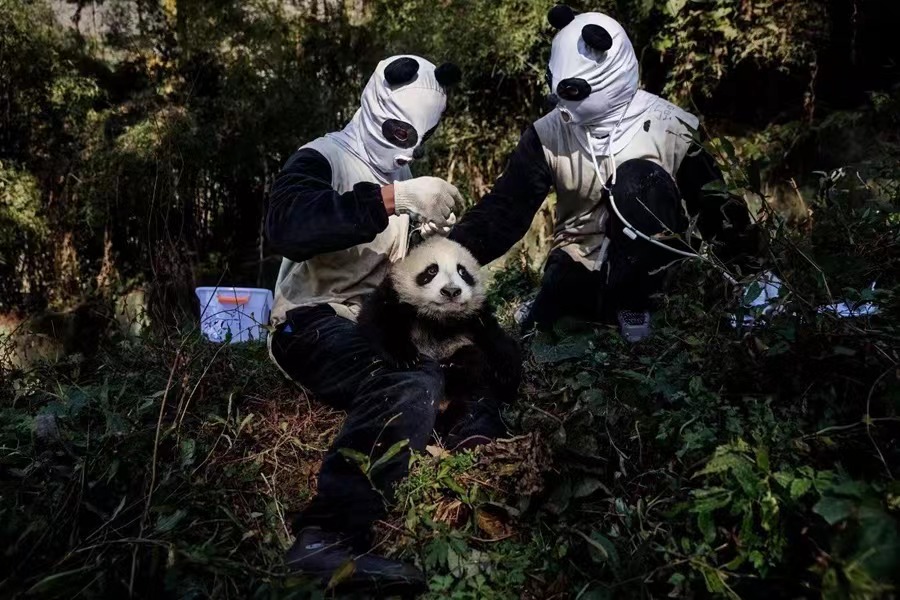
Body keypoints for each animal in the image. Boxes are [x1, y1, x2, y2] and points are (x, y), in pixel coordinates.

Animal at [357, 237, 522, 446]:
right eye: (431, 271)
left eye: (462, 271)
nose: (451, 291)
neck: (439, 319)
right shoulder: (394, 298)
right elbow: (376, 319)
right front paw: (405, 356)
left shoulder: (477, 319)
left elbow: (498, 342)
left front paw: (505, 373)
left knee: (471, 372)